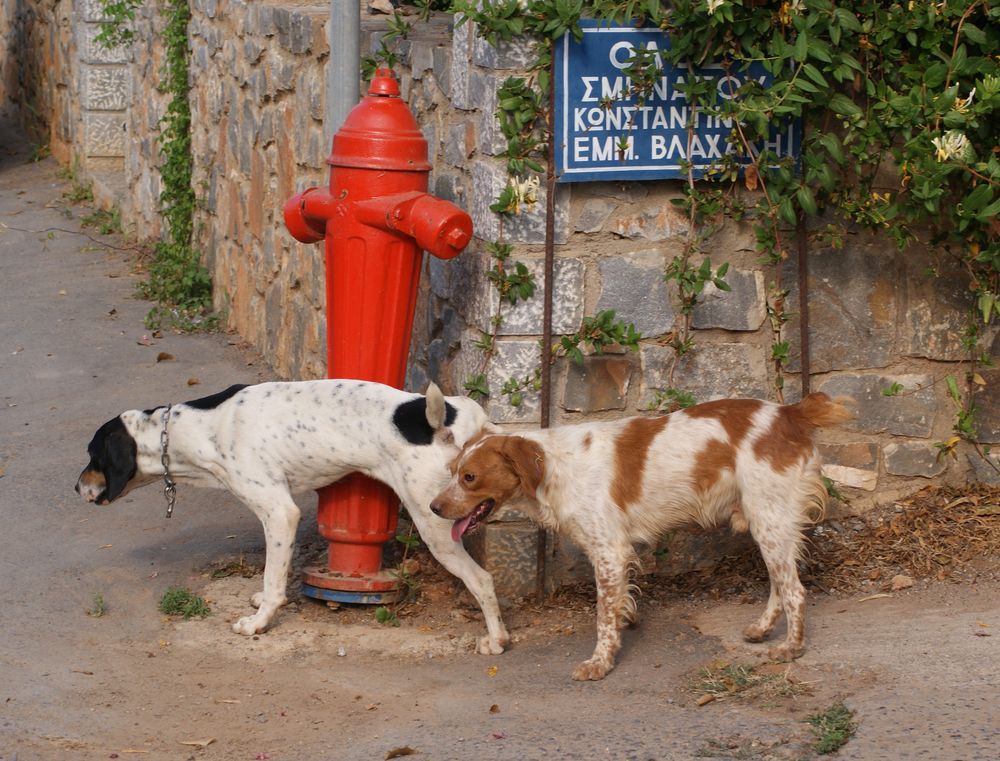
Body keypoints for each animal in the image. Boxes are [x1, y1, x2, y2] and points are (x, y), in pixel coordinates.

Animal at [430, 394, 852, 680]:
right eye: (451, 471)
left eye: (469, 477)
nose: (433, 507)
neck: (553, 467)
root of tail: (788, 412)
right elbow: (617, 607)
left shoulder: (609, 552)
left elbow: (603, 616)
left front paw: (600, 662)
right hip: (769, 523)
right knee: (782, 584)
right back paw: (763, 629)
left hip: (769, 520)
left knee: (795, 590)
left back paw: (791, 647)